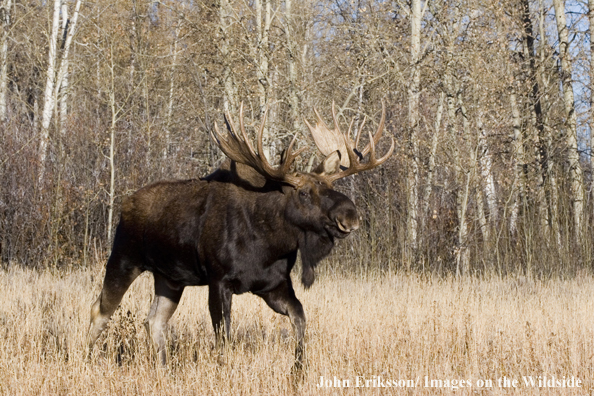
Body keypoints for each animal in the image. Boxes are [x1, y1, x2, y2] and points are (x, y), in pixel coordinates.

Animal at [85, 101, 390, 368]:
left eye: (330, 186)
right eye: (304, 192)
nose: (350, 215)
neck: (271, 245)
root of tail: (125, 204)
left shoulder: (273, 286)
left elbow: (301, 320)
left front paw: (298, 371)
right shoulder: (219, 280)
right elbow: (224, 339)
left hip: (170, 278)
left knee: (153, 321)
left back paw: (163, 370)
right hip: (124, 259)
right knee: (99, 310)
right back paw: (87, 361)